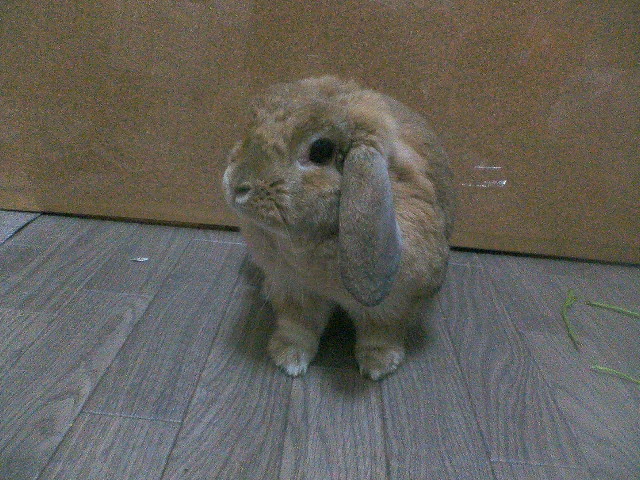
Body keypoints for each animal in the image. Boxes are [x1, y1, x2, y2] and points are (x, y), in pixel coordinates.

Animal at [223, 76, 455, 380]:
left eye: (321, 150)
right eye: (253, 125)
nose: (235, 185)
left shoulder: (394, 303)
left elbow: (380, 333)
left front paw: (378, 365)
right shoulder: (292, 289)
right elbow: (297, 327)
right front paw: (288, 358)